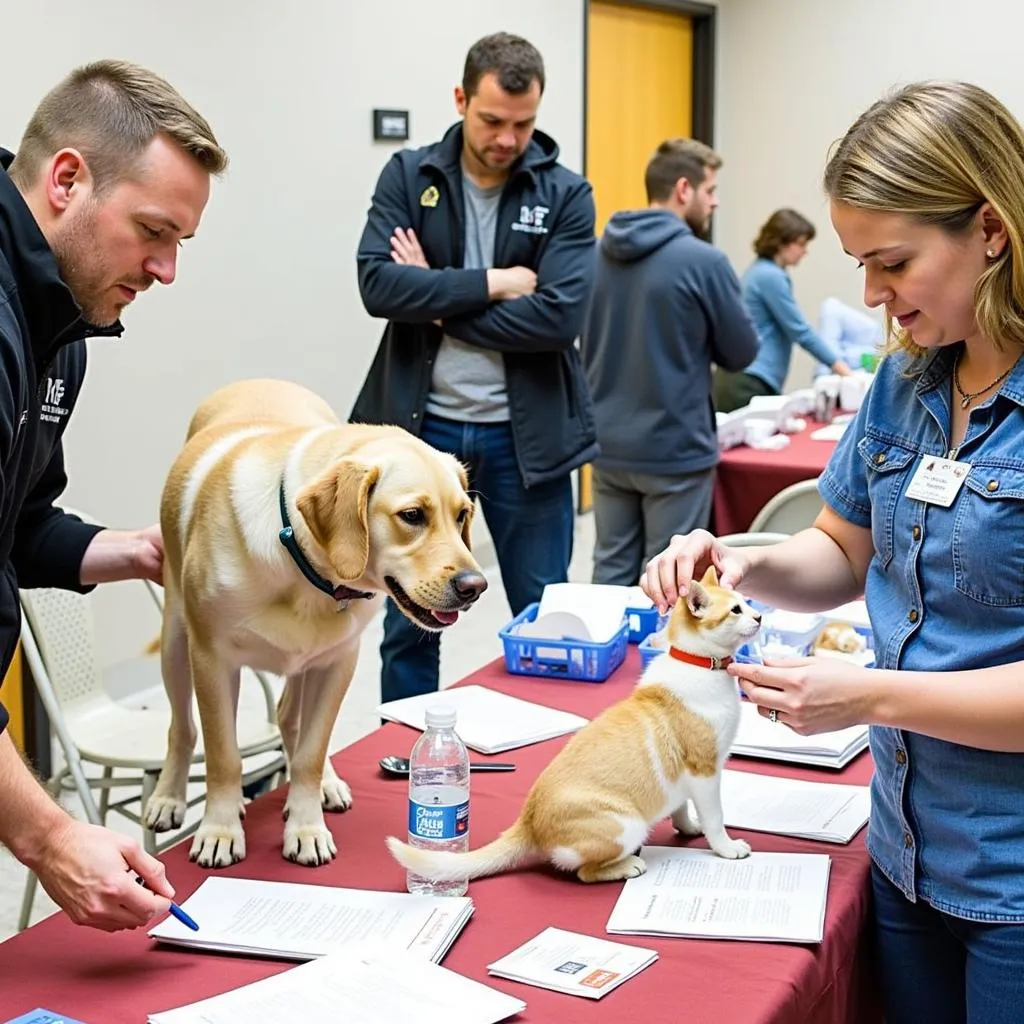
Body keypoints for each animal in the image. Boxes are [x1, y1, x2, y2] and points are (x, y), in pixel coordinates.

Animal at [141, 380, 487, 868]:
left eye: (461, 516)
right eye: (412, 515)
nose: (476, 586)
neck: (300, 563)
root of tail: (256, 380)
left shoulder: (339, 662)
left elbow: (310, 752)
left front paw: (306, 827)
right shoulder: (212, 660)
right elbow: (223, 756)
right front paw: (219, 830)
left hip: (309, 663)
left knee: (293, 722)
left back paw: (327, 781)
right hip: (175, 641)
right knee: (182, 727)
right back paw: (169, 797)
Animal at [387, 565, 765, 884]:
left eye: (745, 602)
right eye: (735, 610)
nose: (760, 616)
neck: (698, 662)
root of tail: (528, 822)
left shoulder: (685, 780)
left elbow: (681, 808)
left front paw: (687, 827)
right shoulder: (705, 771)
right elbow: (715, 818)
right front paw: (726, 847)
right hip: (627, 825)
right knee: (585, 872)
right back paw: (627, 866)